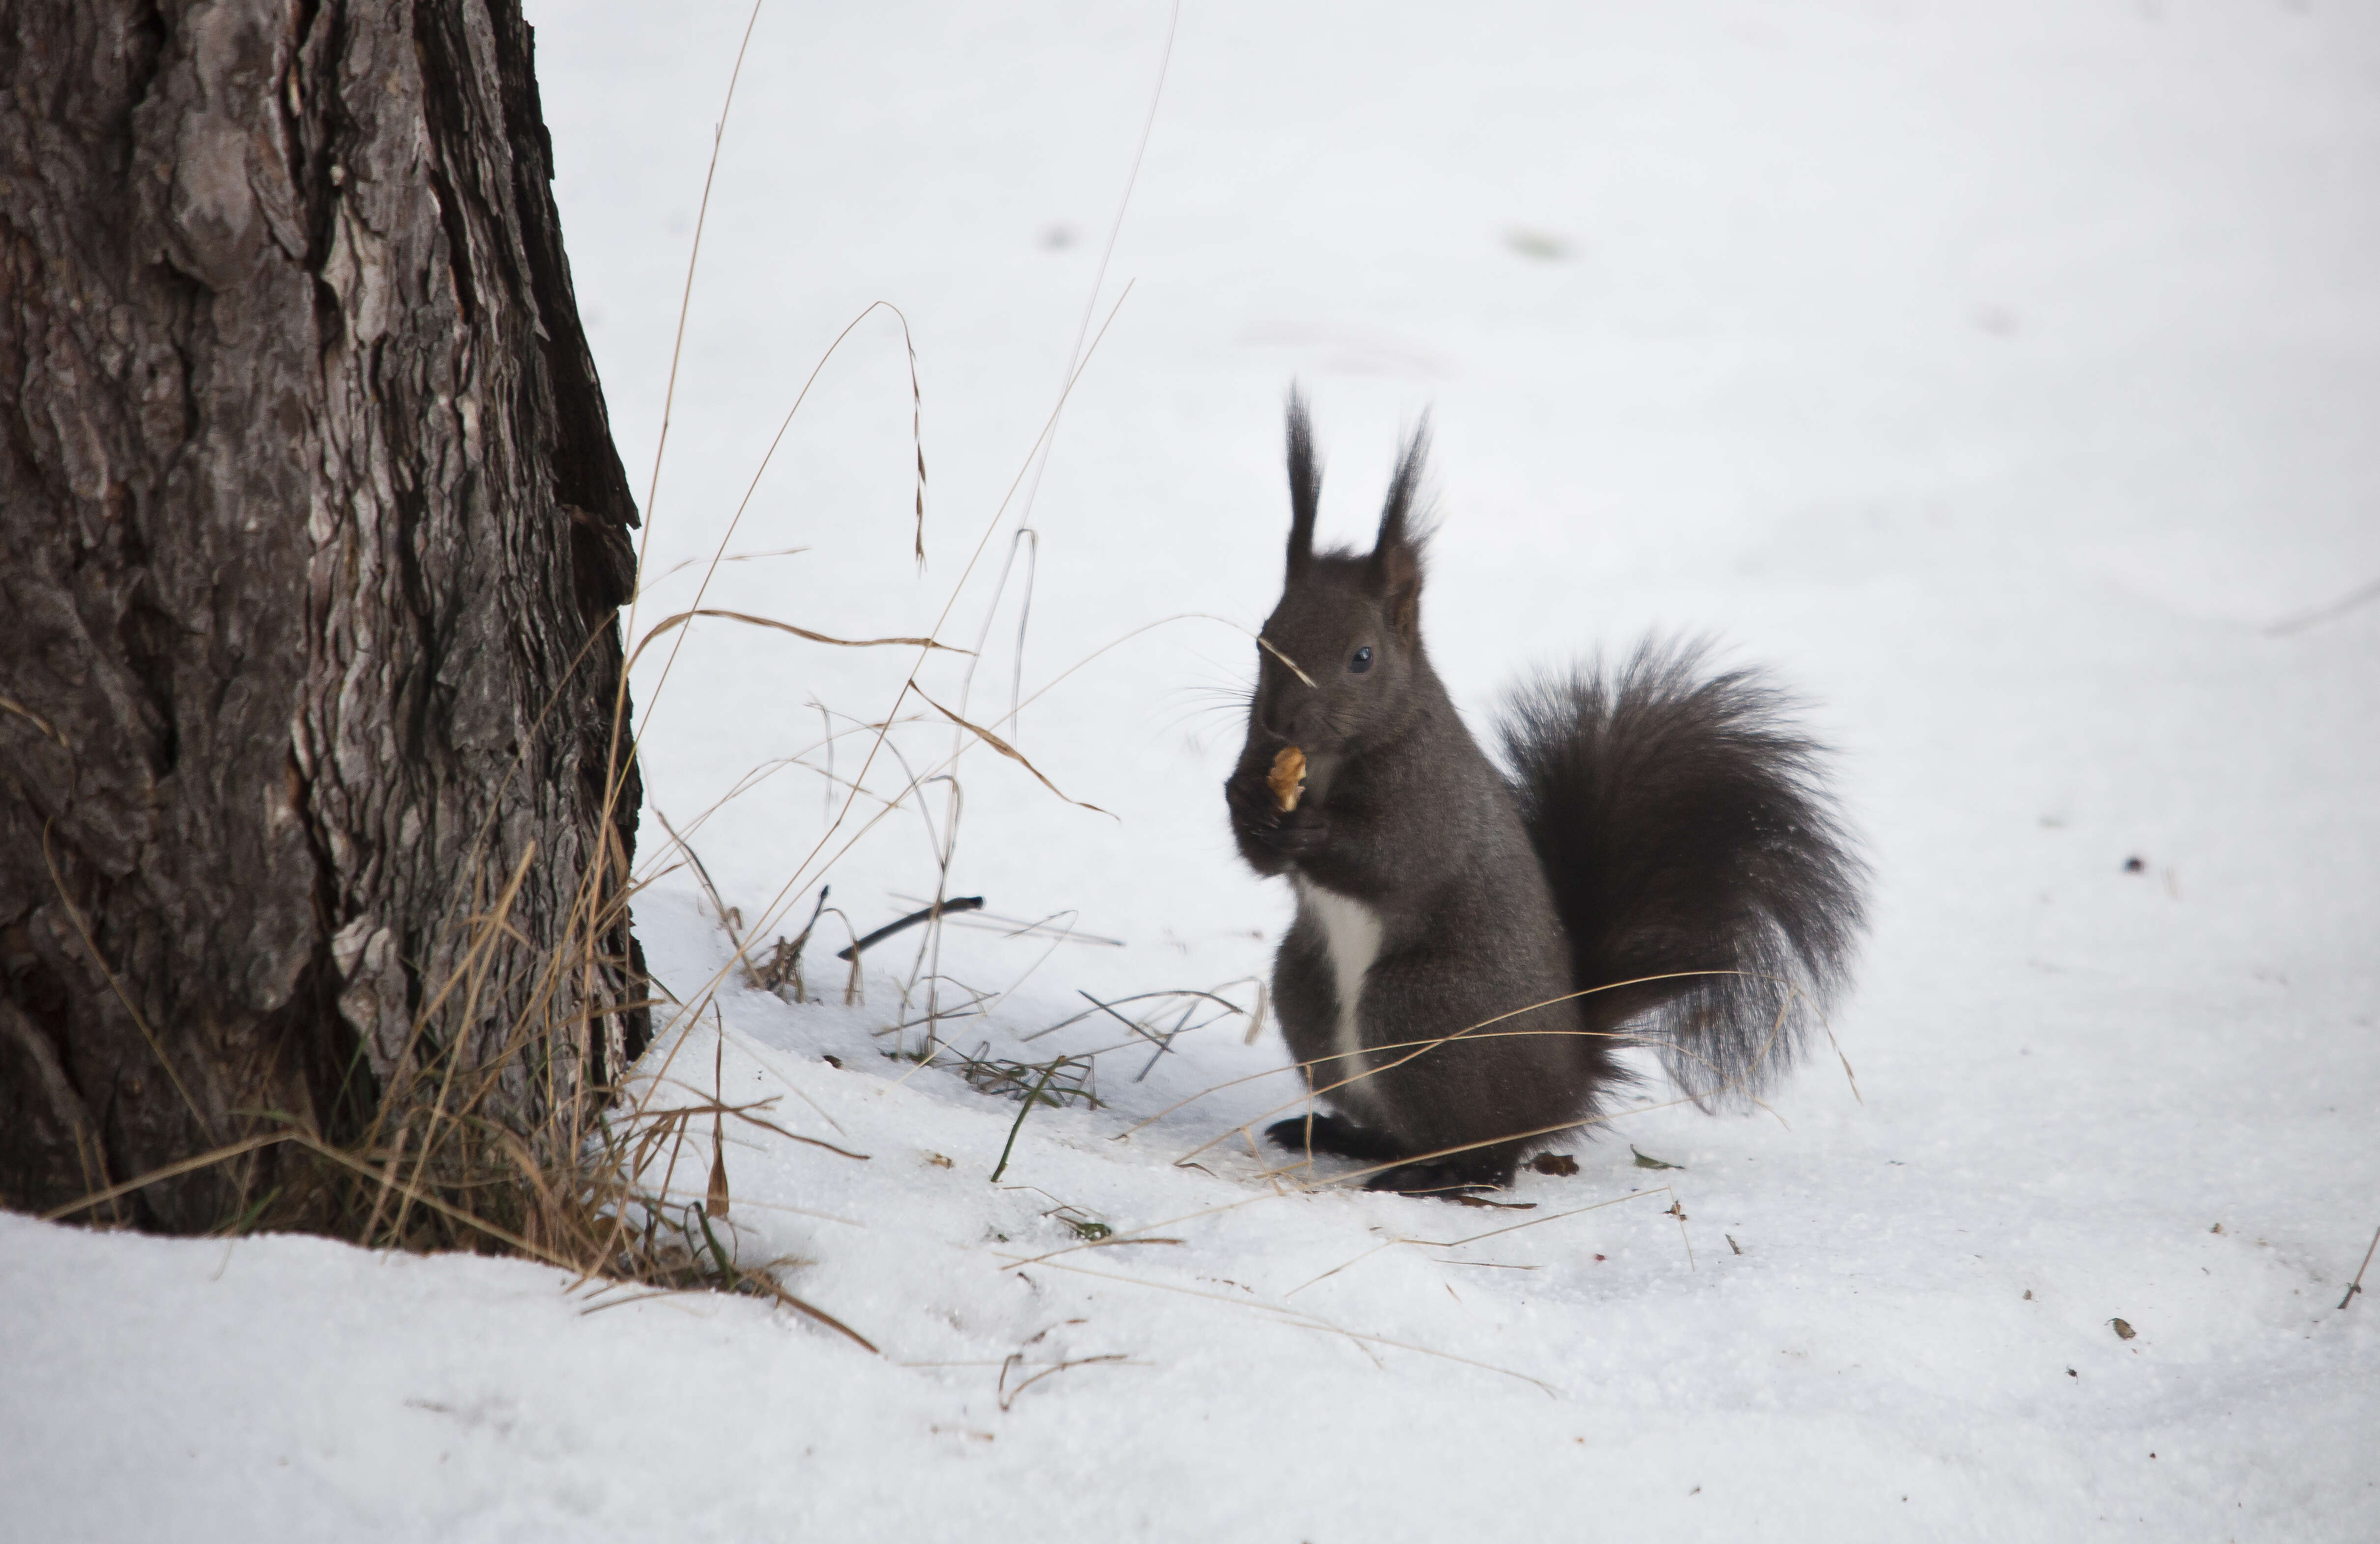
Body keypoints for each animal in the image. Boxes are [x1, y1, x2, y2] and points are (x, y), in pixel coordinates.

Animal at [1228, 395, 1875, 1194]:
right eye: (1264, 637)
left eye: (1361, 658)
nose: (1280, 720)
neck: (1321, 762)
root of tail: (1567, 1078)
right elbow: (1257, 851)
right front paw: (1249, 805)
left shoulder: (1434, 795)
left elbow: (1400, 856)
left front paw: (1316, 833)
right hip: (1309, 992)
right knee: (1407, 1128)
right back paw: (1350, 1137)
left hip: (1423, 1009)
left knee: (1491, 1152)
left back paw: (1436, 1175)